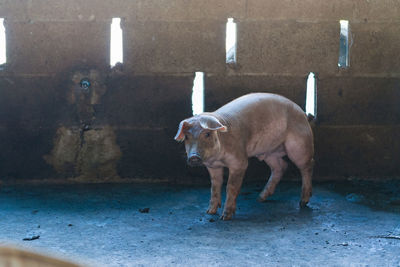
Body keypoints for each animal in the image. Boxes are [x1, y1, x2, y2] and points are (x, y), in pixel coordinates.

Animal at [173, 93, 314, 221]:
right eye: (187, 137)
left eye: (207, 134)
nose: (193, 157)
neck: (218, 159)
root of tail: (303, 114)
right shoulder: (213, 167)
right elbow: (214, 186)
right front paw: (210, 212)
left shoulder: (239, 161)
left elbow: (231, 186)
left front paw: (225, 217)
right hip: (269, 152)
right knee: (281, 166)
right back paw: (260, 198)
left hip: (299, 144)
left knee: (307, 166)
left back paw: (303, 202)